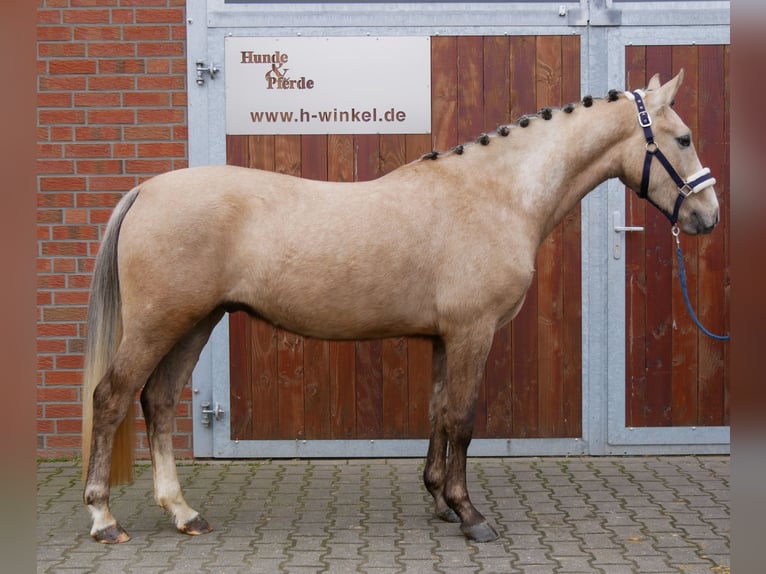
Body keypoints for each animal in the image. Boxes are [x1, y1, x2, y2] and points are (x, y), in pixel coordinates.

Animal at [82, 72, 720, 544]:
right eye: (684, 138)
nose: (706, 218)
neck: (496, 195)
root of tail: (146, 190)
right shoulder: (472, 332)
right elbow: (462, 419)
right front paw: (470, 515)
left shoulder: (444, 337)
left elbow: (437, 413)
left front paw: (439, 500)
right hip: (160, 323)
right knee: (112, 398)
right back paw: (104, 518)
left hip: (195, 323)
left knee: (159, 402)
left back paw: (183, 513)